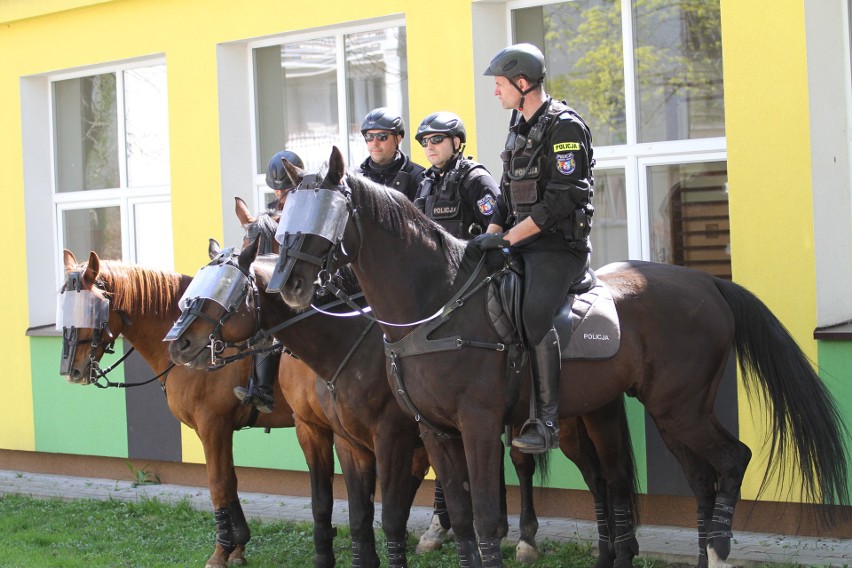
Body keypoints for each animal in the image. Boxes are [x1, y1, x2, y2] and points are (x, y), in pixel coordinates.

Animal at [57, 252, 332, 568]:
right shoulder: (214, 430)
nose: (72, 370)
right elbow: (230, 481)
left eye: (89, 308)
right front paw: (238, 546)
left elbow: (219, 484)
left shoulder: (213, 425)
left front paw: (220, 552)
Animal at [274, 148, 852, 568]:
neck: (435, 304)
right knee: (699, 478)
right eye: (282, 220)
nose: (287, 286)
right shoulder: (434, 431)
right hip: (668, 414)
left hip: (680, 409)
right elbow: (460, 517)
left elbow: (486, 518)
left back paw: (720, 548)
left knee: (733, 460)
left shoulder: (476, 426)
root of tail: (708, 283)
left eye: (324, 216)